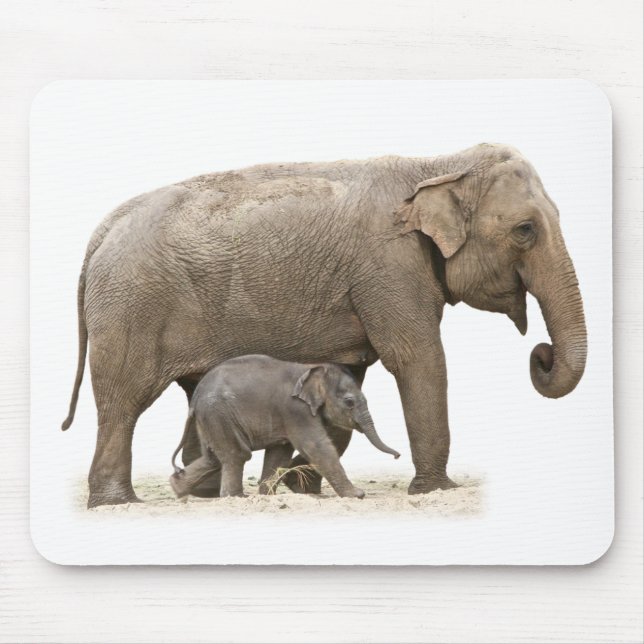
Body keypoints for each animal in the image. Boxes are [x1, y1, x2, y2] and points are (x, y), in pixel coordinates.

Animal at [168, 354, 400, 499]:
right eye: (349, 402)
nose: (398, 456)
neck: (312, 368)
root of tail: (195, 398)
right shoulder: (296, 410)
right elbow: (316, 446)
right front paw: (357, 495)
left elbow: (279, 453)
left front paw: (266, 496)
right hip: (219, 414)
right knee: (237, 454)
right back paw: (235, 497)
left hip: (211, 418)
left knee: (214, 458)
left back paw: (177, 490)